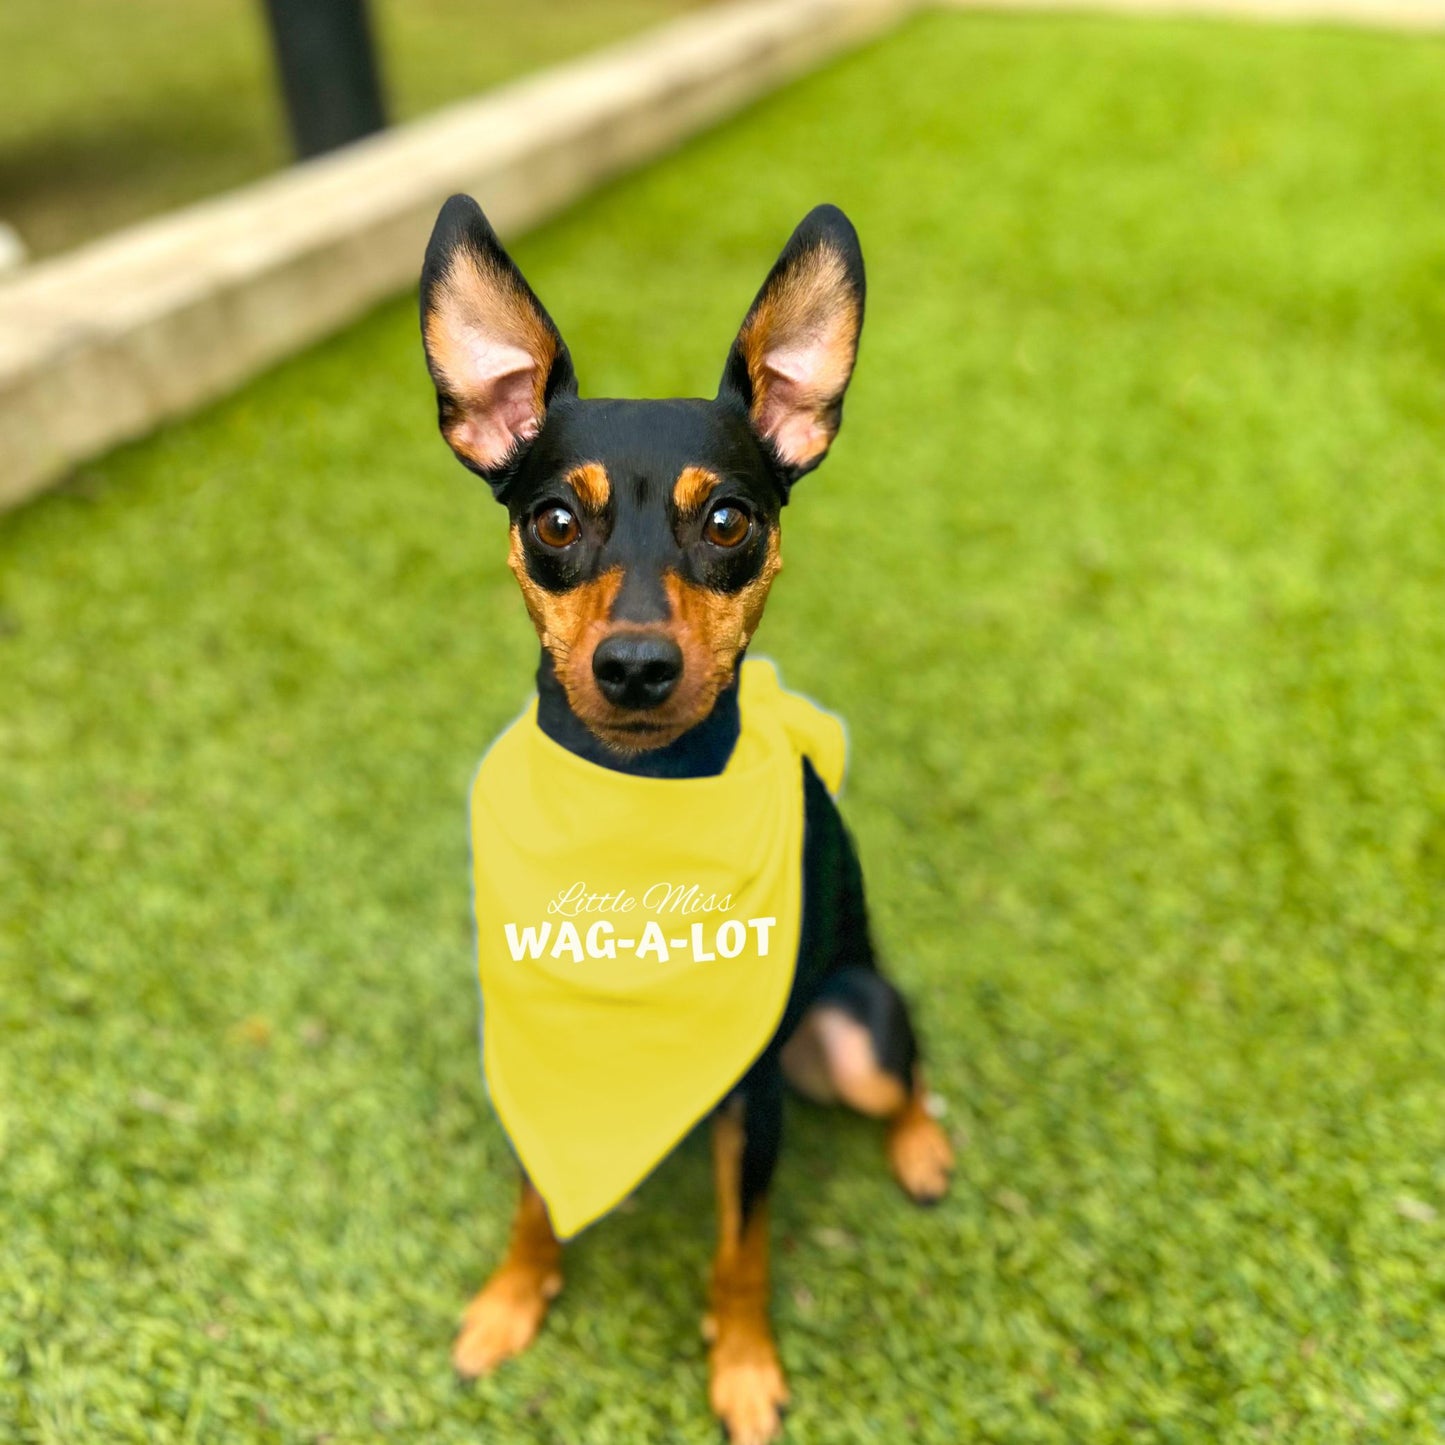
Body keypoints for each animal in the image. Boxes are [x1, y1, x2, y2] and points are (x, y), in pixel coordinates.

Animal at [421, 195, 959, 1445]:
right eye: (551, 518)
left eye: (726, 519)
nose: (632, 666)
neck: (636, 807)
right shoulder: (532, 1040)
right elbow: (532, 1196)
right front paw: (510, 1299)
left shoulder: (750, 1103)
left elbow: (740, 1250)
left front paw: (744, 1364)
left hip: (855, 1027)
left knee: (905, 1070)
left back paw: (922, 1145)